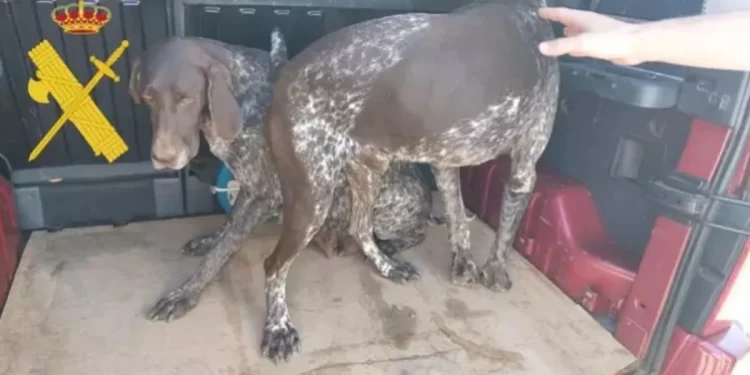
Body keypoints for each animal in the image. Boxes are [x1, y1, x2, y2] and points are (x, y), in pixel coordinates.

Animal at [262, 0, 560, 364]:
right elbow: (504, 233)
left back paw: (388, 266)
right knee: (274, 266)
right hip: (312, 198)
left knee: (360, 228)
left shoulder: (447, 164)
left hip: (367, 172)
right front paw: (496, 272)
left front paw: (464, 266)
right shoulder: (524, 167)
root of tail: (285, 72)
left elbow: (458, 221)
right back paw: (278, 328)